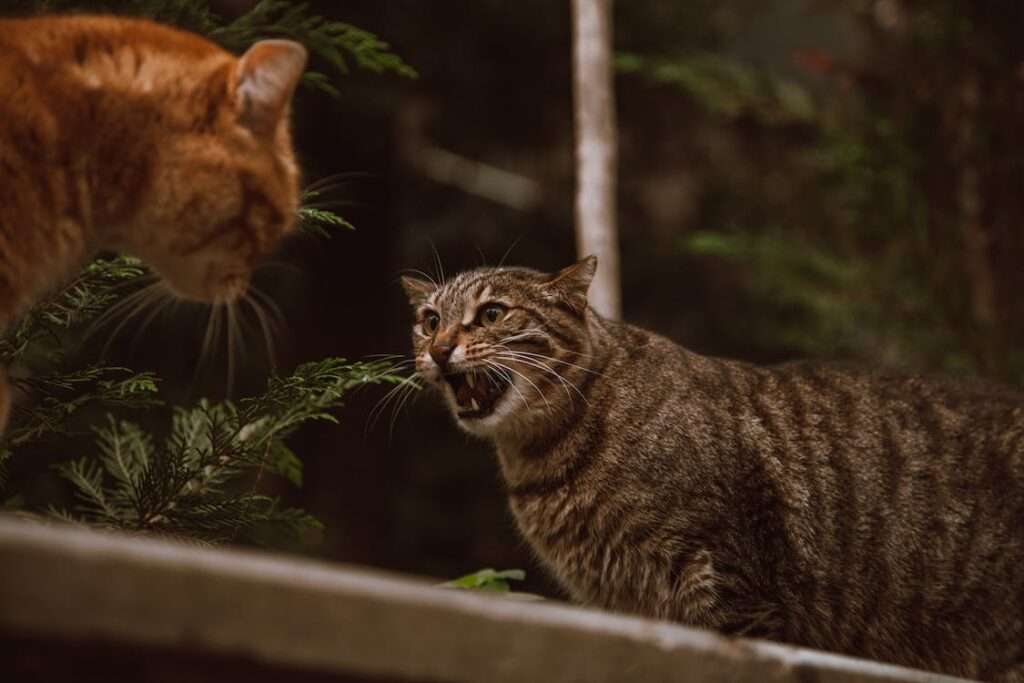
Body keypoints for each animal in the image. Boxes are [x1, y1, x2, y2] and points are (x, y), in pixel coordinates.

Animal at [403, 258, 1024, 683]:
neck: (543, 460)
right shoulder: (621, 609)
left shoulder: (725, 584)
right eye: (428, 320)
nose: (437, 348)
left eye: (491, 314)